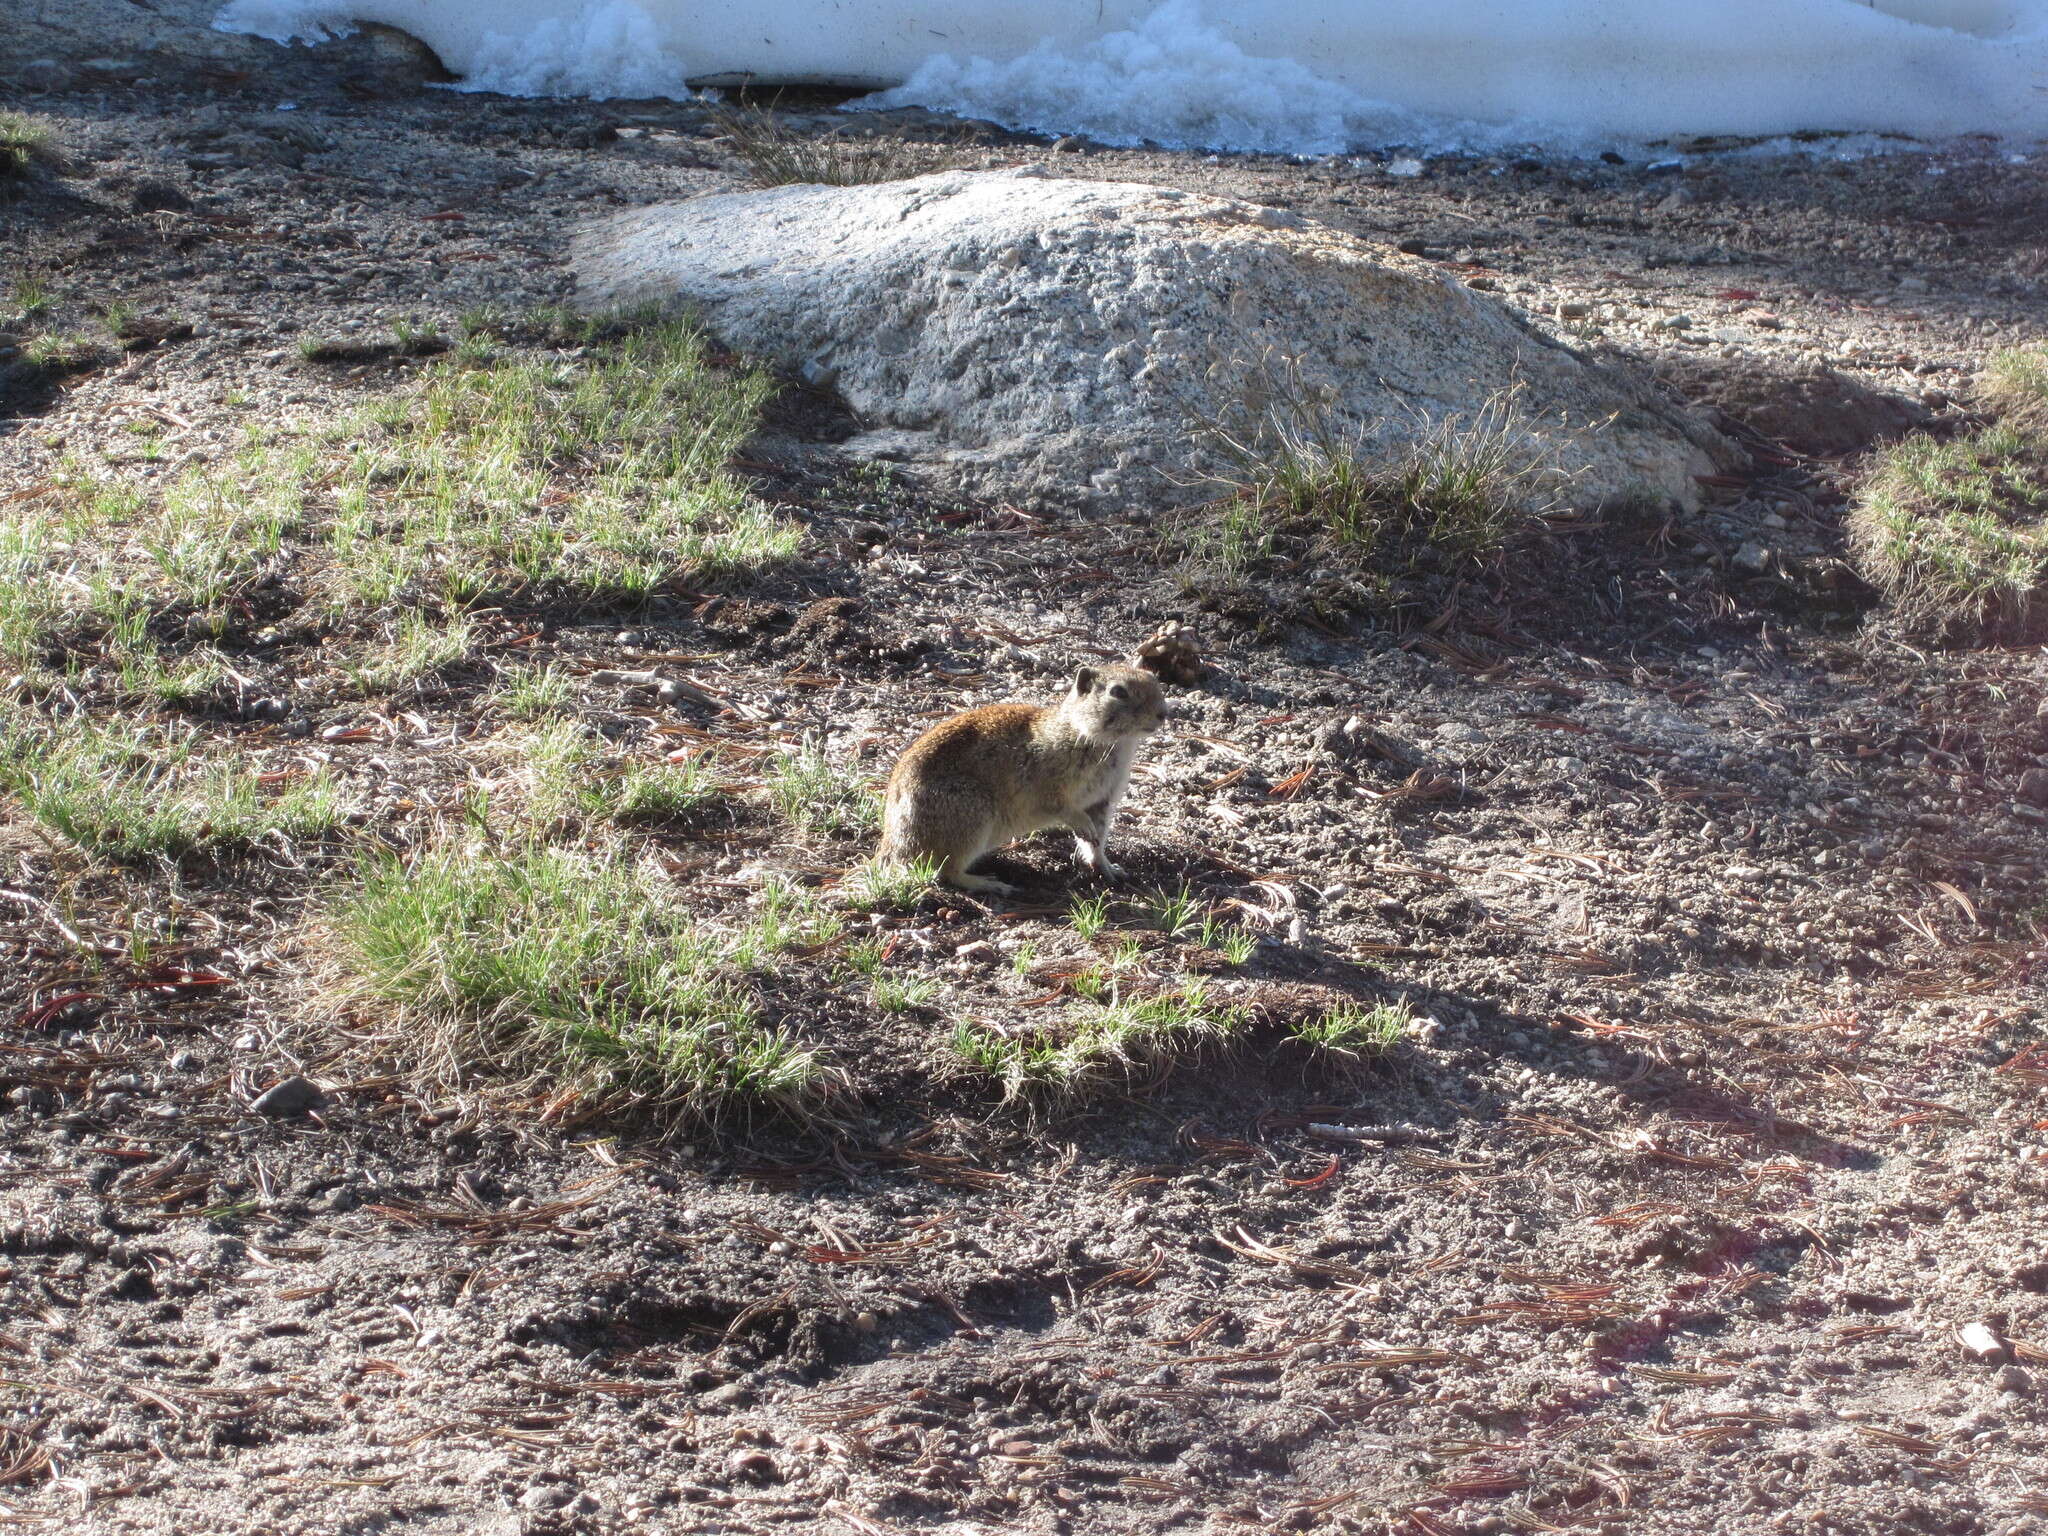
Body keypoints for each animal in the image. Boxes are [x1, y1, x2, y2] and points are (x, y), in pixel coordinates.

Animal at [880, 663, 1171, 901]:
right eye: (1118, 692)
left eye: (1153, 679)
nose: (1163, 713)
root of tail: (893, 847)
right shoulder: (1051, 787)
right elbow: (1067, 811)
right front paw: (1083, 828)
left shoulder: (1102, 801)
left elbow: (1096, 842)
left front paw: (1111, 870)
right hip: (971, 817)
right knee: (946, 872)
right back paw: (993, 884)